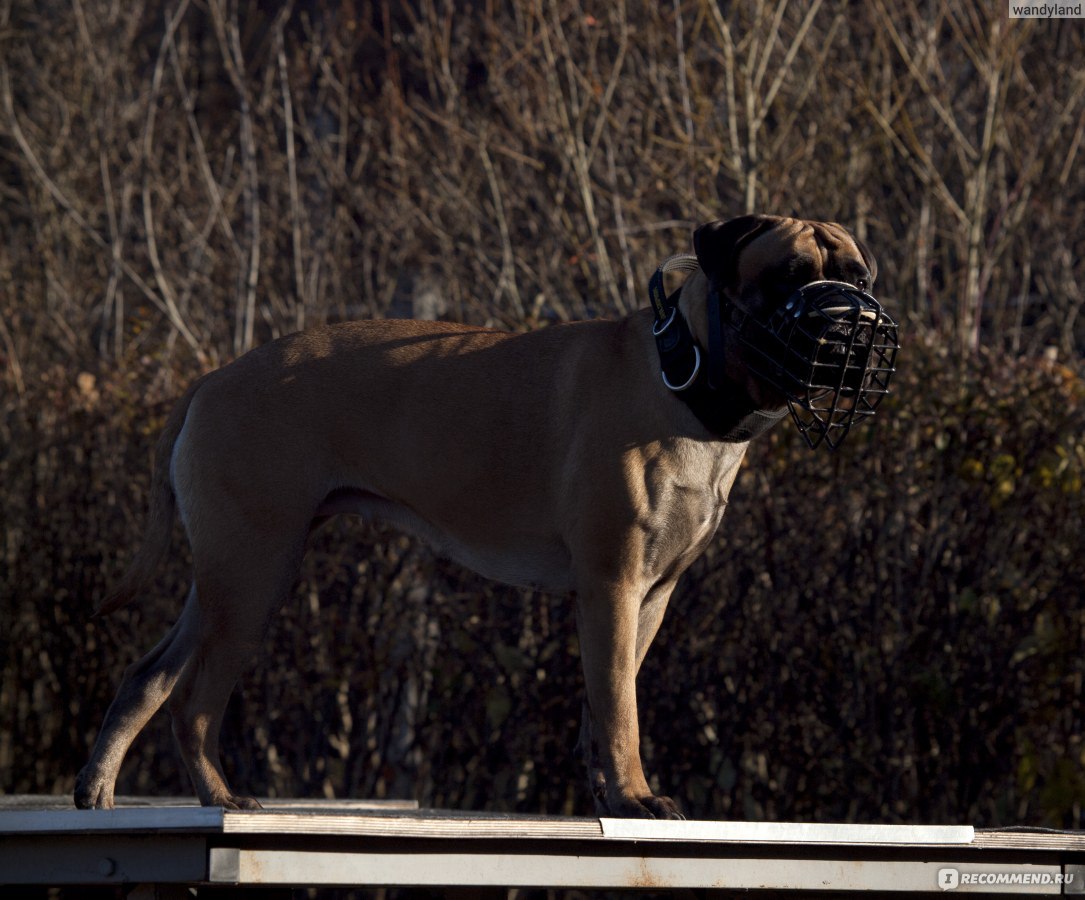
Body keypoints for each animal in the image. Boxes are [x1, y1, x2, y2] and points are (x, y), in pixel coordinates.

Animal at [74, 216, 898, 816]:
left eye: (857, 277)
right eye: (788, 277)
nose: (851, 320)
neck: (687, 377)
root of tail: (214, 377)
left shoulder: (649, 597)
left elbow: (605, 704)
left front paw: (610, 797)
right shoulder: (612, 586)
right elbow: (620, 707)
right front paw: (635, 797)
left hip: (225, 579)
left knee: (150, 676)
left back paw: (99, 788)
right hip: (253, 576)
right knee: (193, 704)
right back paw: (219, 798)